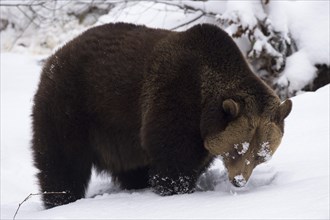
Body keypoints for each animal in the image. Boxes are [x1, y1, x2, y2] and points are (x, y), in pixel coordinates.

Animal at [32, 22, 292, 208]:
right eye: (237, 148)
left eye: (260, 155)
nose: (238, 180)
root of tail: (56, 55)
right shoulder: (174, 95)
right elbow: (172, 154)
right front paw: (175, 189)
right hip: (72, 105)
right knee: (62, 159)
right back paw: (60, 198)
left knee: (129, 167)